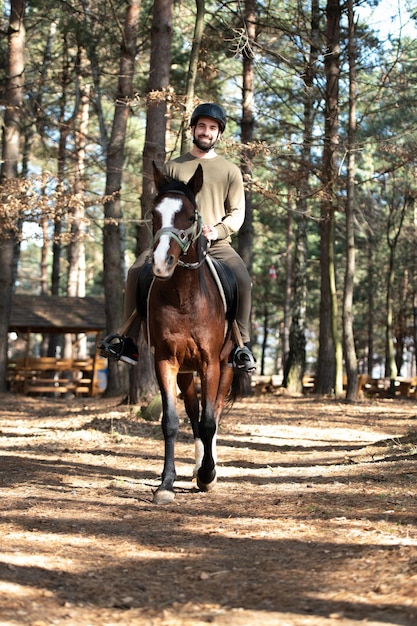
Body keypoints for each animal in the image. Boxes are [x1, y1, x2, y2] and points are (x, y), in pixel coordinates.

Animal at [147, 162, 247, 502]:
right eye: (154, 213)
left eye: (191, 216)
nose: (161, 264)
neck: (183, 298)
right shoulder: (165, 361)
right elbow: (171, 422)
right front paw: (166, 483)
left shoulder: (211, 363)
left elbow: (209, 421)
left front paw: (208, 474)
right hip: (186, 373)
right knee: (194, 414)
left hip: (226, 366)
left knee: (213, 413)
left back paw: (208, 469)